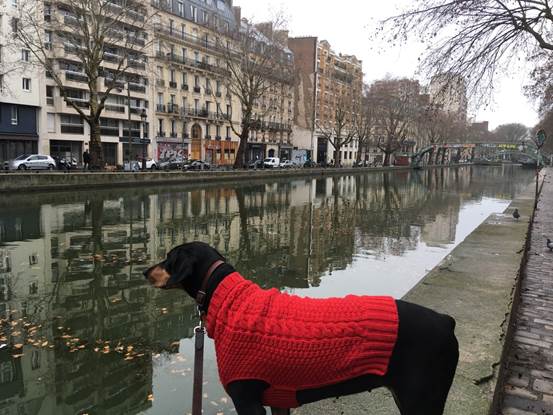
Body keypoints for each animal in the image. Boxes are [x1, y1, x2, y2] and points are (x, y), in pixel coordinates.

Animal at [142, 242, 458, 414]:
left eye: (169, 257)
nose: (144, 271)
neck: (229, 299)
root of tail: (446, 321)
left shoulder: (247, 401)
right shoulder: (279, 401)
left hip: (422, 399)